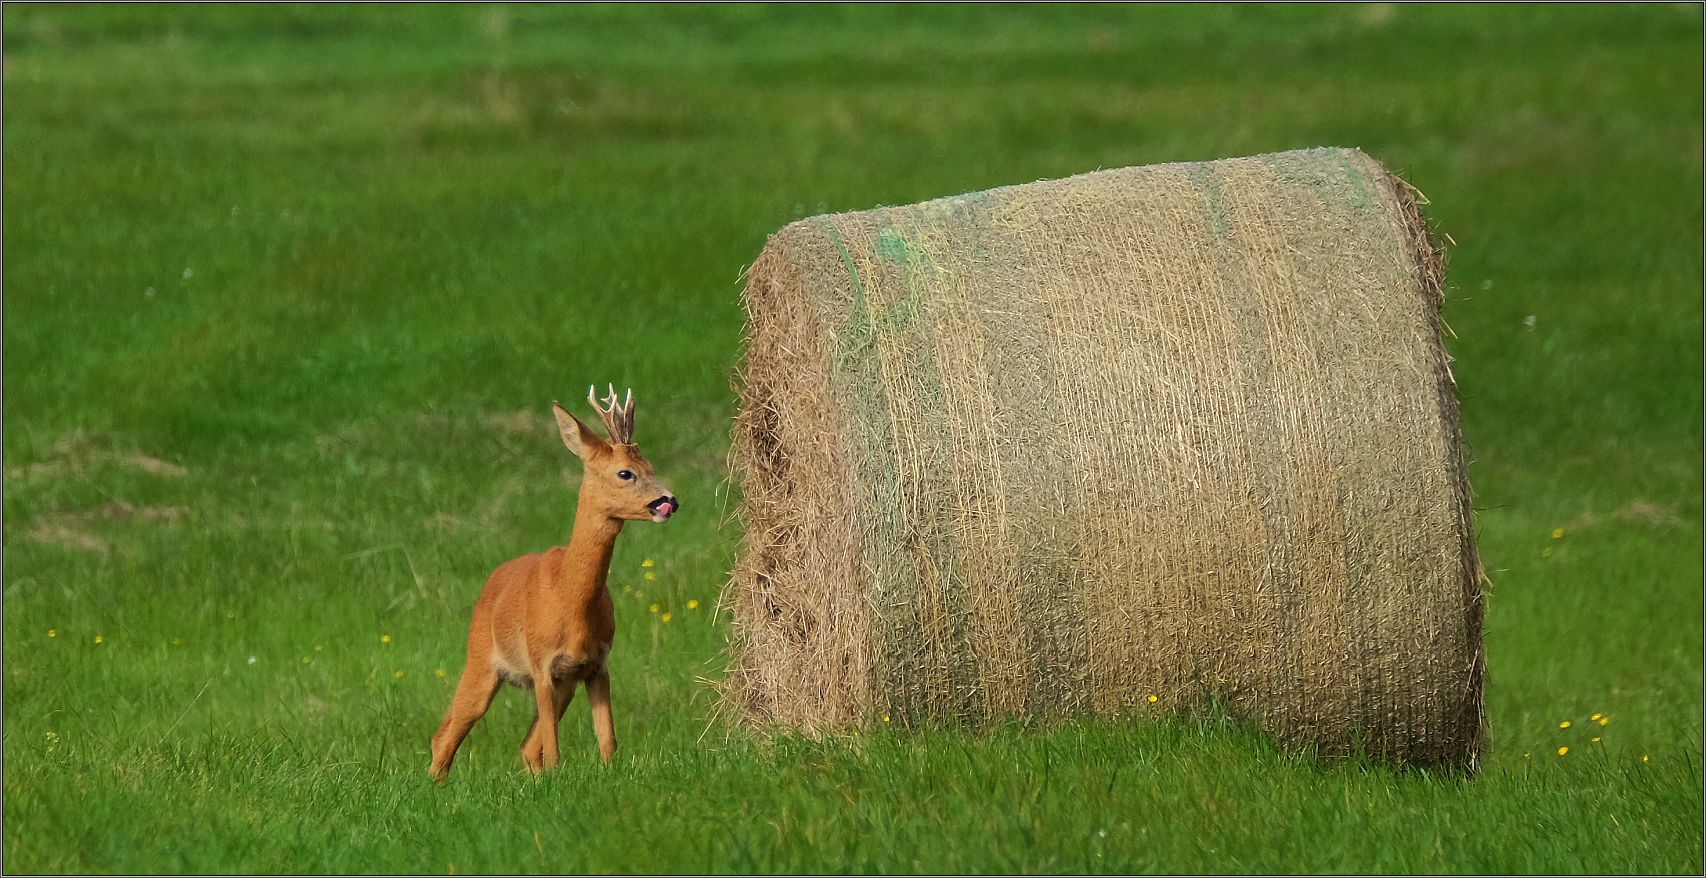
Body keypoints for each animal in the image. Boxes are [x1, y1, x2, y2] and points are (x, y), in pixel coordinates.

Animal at [426, 387, 678, 784]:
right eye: (625, 473)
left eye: (651, 466)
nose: (669, 502)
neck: (568, 599)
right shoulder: (542, 662)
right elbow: (554, 746)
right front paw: (558, 778)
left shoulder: (595, 665)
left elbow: (607, 740)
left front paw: (607, 776)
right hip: (480, 659)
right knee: (447, 734)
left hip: (564, 684)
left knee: (525, 747)